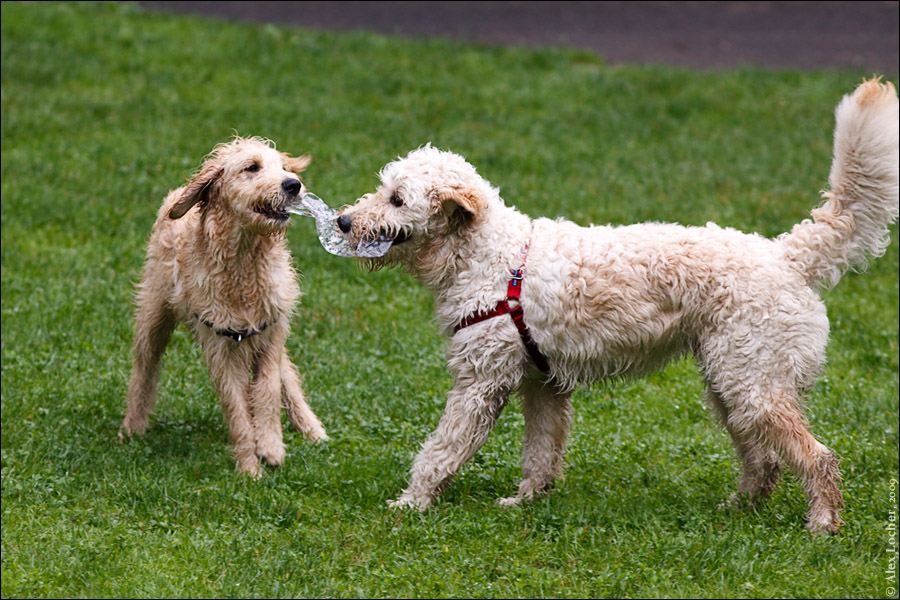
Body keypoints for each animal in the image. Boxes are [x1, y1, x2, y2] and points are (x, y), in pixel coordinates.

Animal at [121, 137, 328, 476]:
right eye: (252, 167)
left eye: (283, 167)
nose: (293, 184)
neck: (245, 261)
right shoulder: (221, 345)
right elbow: (237, 410)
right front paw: (249, 468)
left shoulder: (270, 331)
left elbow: (269, 389)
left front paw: (271, 445)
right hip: (153, 317)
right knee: (144, 369)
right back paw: (132, 427)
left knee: (285, 373)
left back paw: (312, 429)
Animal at [337, 80, 899, 533]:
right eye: (383, 189)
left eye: (397, 199)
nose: (342, 220)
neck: (492, 258)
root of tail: (788, 254)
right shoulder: (542, 385)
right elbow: (540, 455)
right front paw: (526, 503)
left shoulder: (479, 384)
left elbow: (440, 450)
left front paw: (411, 503)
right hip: (732, 386)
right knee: (765, 461)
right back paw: (739, 509)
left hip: (754, 387)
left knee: (818, 458)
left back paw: (822, 523)